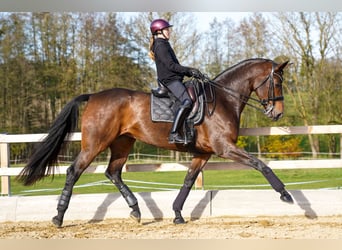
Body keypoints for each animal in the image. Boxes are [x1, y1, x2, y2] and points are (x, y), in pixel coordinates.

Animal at [17, 58, 292, 227]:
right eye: (277, 82)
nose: (278, 113)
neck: (223, 99)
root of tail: (94, 95)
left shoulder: (203, 153)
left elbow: (188, 181)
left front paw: (178, 213)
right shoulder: (224, 148)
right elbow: (260, 164)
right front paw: (285, 194)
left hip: (122, 143)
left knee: (113, 173)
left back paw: (136, 210)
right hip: (94, 144)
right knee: (74, 171)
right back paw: (58, 217)